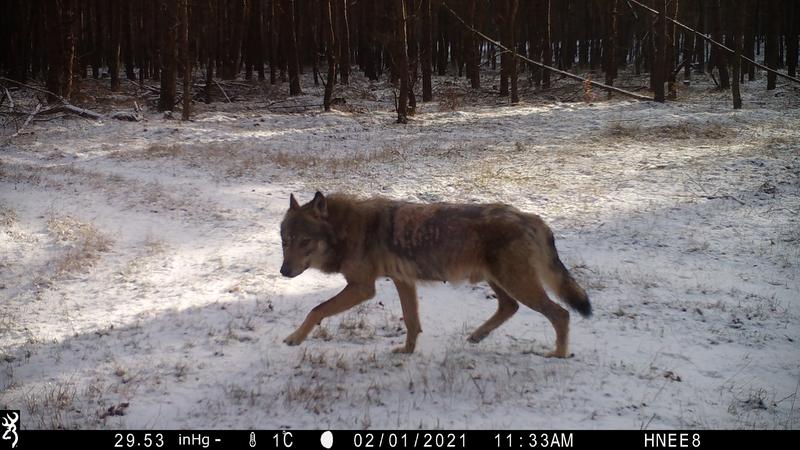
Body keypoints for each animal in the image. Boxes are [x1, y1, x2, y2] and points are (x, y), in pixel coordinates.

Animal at [278, 192, 592, 356]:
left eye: (304, 242)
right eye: (285, 241)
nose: (283, 271)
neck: (347, 229)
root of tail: (530, 217)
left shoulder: (363, 288)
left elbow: (317, 309)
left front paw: (295, 338)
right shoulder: (403, 281)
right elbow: (411, 321)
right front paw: (407, 352)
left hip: (516, 283)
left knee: (560, 314)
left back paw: (558, 355)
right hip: (499, 282)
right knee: (509, 307)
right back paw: (477, 336)